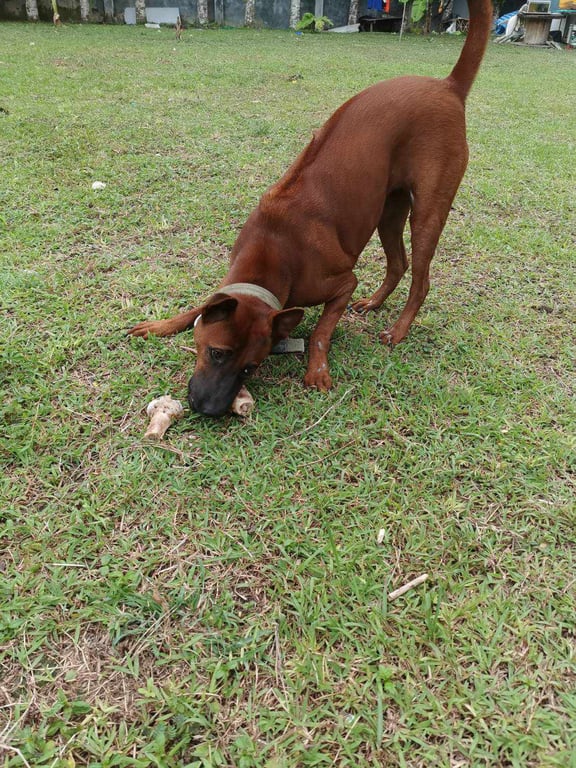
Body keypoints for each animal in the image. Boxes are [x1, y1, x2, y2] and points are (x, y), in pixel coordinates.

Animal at [128, 0, 492, 416]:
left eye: (251, 367)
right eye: (216, 353)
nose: (209, 409)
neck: (274, 249)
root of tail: (447, 85)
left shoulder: (342, 283)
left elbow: (320, 331)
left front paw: (317, 368)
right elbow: (200, 307)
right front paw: (163, 324)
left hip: (429, 212)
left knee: (421, 278)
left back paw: (399, 329)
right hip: (388, 211)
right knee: (397, 263)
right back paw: (376, 302)